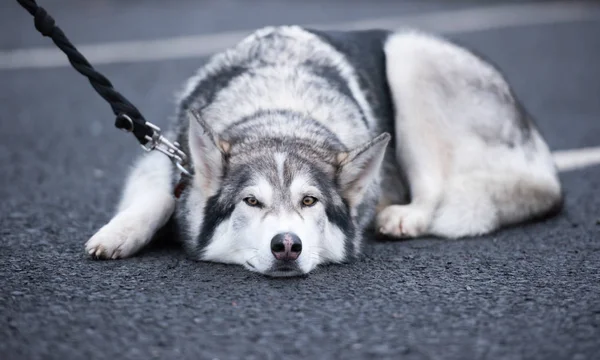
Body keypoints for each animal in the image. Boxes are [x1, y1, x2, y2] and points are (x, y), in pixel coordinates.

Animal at [85, 26, 564, 278]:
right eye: (251, 202)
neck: (280, 109)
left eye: (309, 201)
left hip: (408, 56)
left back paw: (403, 216)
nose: (286, 245)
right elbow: (157, 199)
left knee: (434, 189)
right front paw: (117, 234)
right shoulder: (162, 157)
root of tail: (545, 166)